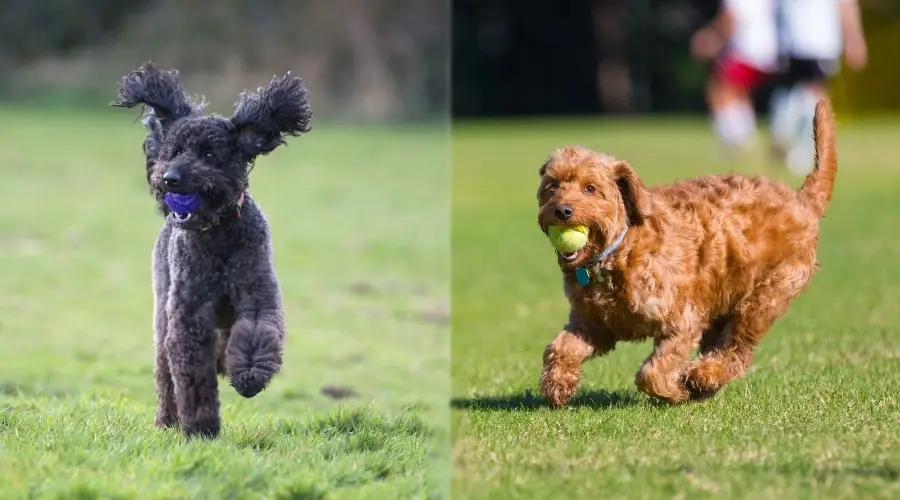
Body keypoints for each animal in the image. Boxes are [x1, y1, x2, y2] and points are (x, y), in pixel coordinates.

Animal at [111, 61, 312, 438]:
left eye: (208, 154)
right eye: (174, 151)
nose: (170, 179)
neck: (218, 236)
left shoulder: (257, 295)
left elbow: (257, 333)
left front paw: (248, 375)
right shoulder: (187, 315)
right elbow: (191, 376)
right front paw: (201, 428)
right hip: (163, 314)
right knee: (165, 378)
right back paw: (167, 422)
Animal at [536, 97, 836, 406]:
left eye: (590, 188)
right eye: (552, 186)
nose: (562, 210)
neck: (620, 250)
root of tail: (802, 199)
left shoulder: (682, 319)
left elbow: (653, 372)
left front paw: (675, 392)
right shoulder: (593, 324)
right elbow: (559, 348)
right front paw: (558, 385)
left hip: (764, 298)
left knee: (738, 349)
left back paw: (702, 377)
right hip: (722, 303)